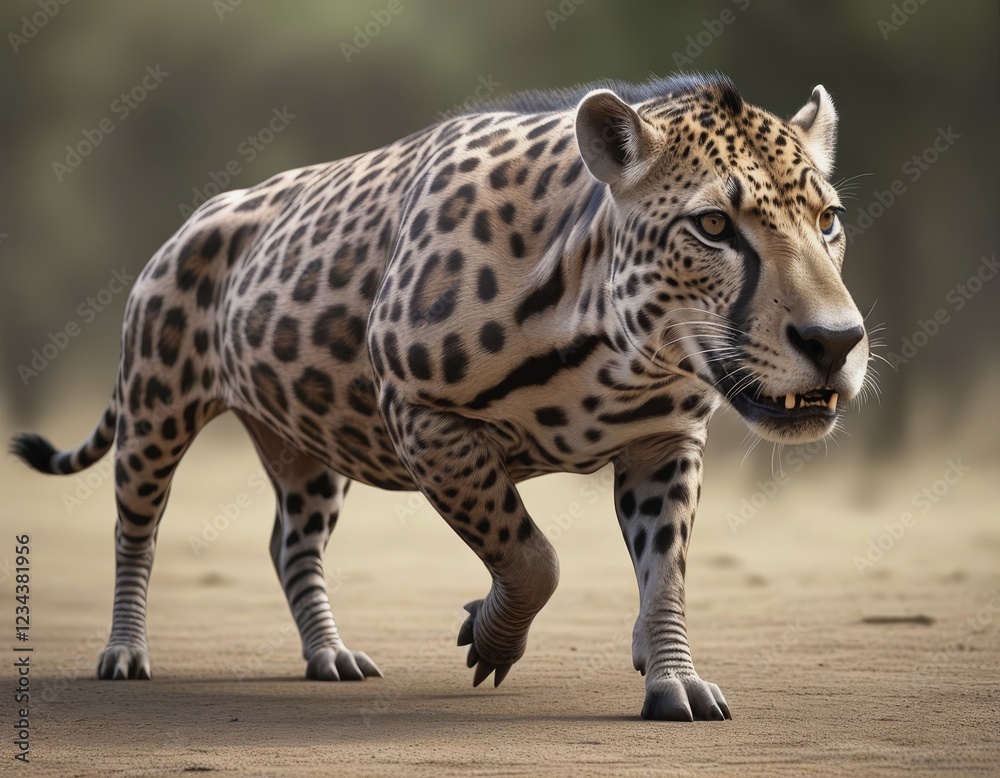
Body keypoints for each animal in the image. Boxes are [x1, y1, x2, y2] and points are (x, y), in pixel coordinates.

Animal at [12, 72, 870, 721]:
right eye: (715, 226)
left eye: (828, 221)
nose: (836, 342)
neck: (613, 342)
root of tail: (190, 220)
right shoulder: (424, 420)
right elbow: (531, 555)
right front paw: (491, 639)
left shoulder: (663, 444)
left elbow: (666, 575)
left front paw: (672, 679)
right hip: (154, 412)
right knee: (136, 533)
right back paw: (125, 651)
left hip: (306, 450)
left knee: (291, 545)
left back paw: (329, 655)